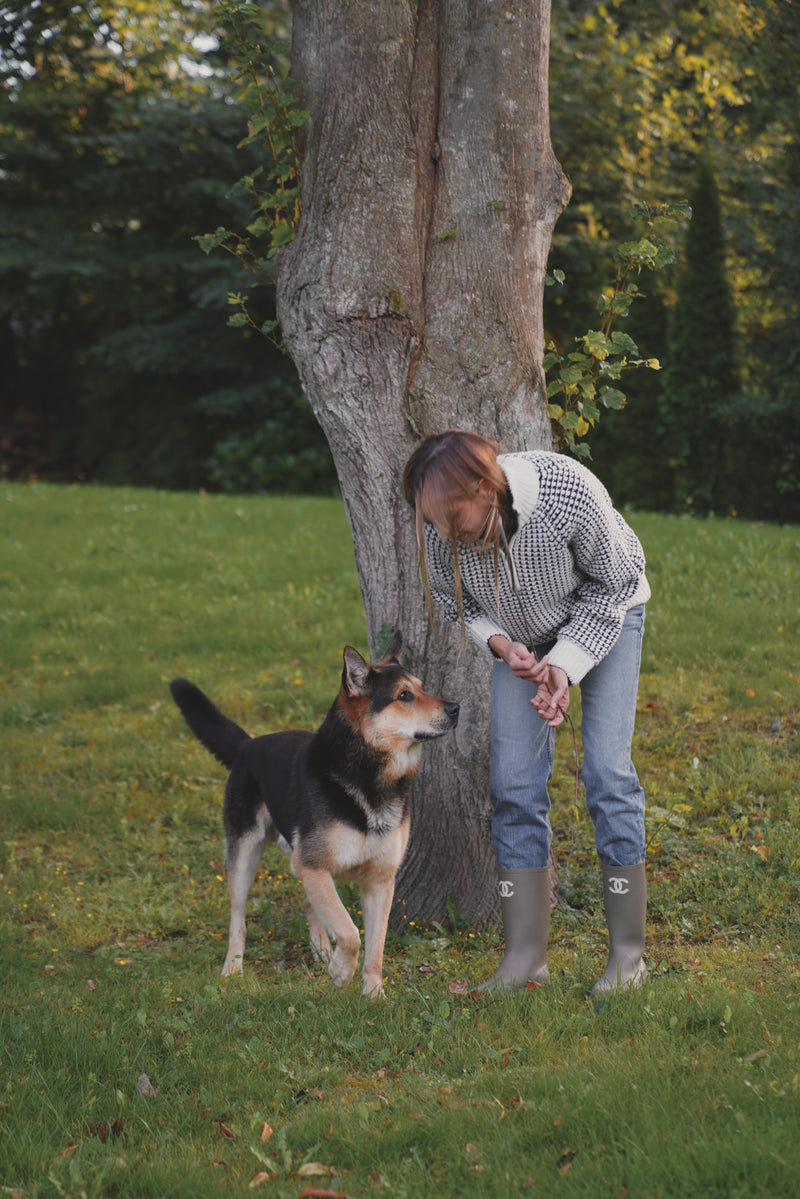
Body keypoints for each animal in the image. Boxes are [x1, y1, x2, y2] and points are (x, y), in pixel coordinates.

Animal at [169, 633, 455, 997]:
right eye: (404, 695)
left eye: (422, 687)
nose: (456, 708)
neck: (368, 775)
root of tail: (249, 745)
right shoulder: (315, 864)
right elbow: (351, 932)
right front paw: (341, 972)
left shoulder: (379, 879)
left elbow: (375, 945)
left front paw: (374, 994)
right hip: (245, 851)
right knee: (238, 916)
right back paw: (233, 966)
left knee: (308, 900)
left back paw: (320, 946)